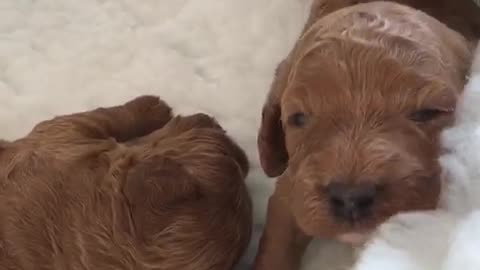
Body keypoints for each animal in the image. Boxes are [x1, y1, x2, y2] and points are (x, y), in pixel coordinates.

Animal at [0, 95, 253, 270]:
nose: (209, 119)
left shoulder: (64, 133)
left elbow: (105, 116)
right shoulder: (63, 134)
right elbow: (109, 115)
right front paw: (154, 105)